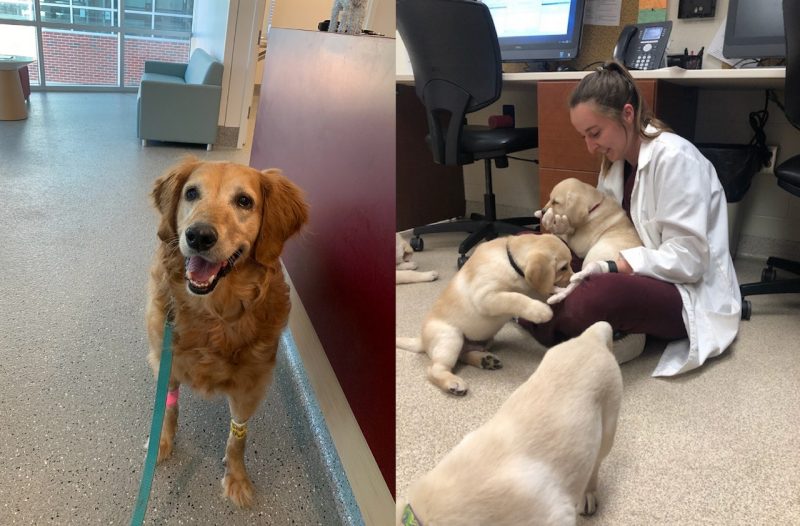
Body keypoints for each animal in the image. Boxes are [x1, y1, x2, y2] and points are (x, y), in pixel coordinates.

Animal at [396, 235, 572, 396]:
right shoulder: (486, 297)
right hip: (450, 337)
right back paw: (452, 382)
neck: (509, 260)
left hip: (484, 340)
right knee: (434, 369)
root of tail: (422, 341)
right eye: (563, 268)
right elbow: (515, 298)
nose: (572, 279)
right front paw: (541, 311)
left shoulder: (531, 289)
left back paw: (485, 360)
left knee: (463, 355)